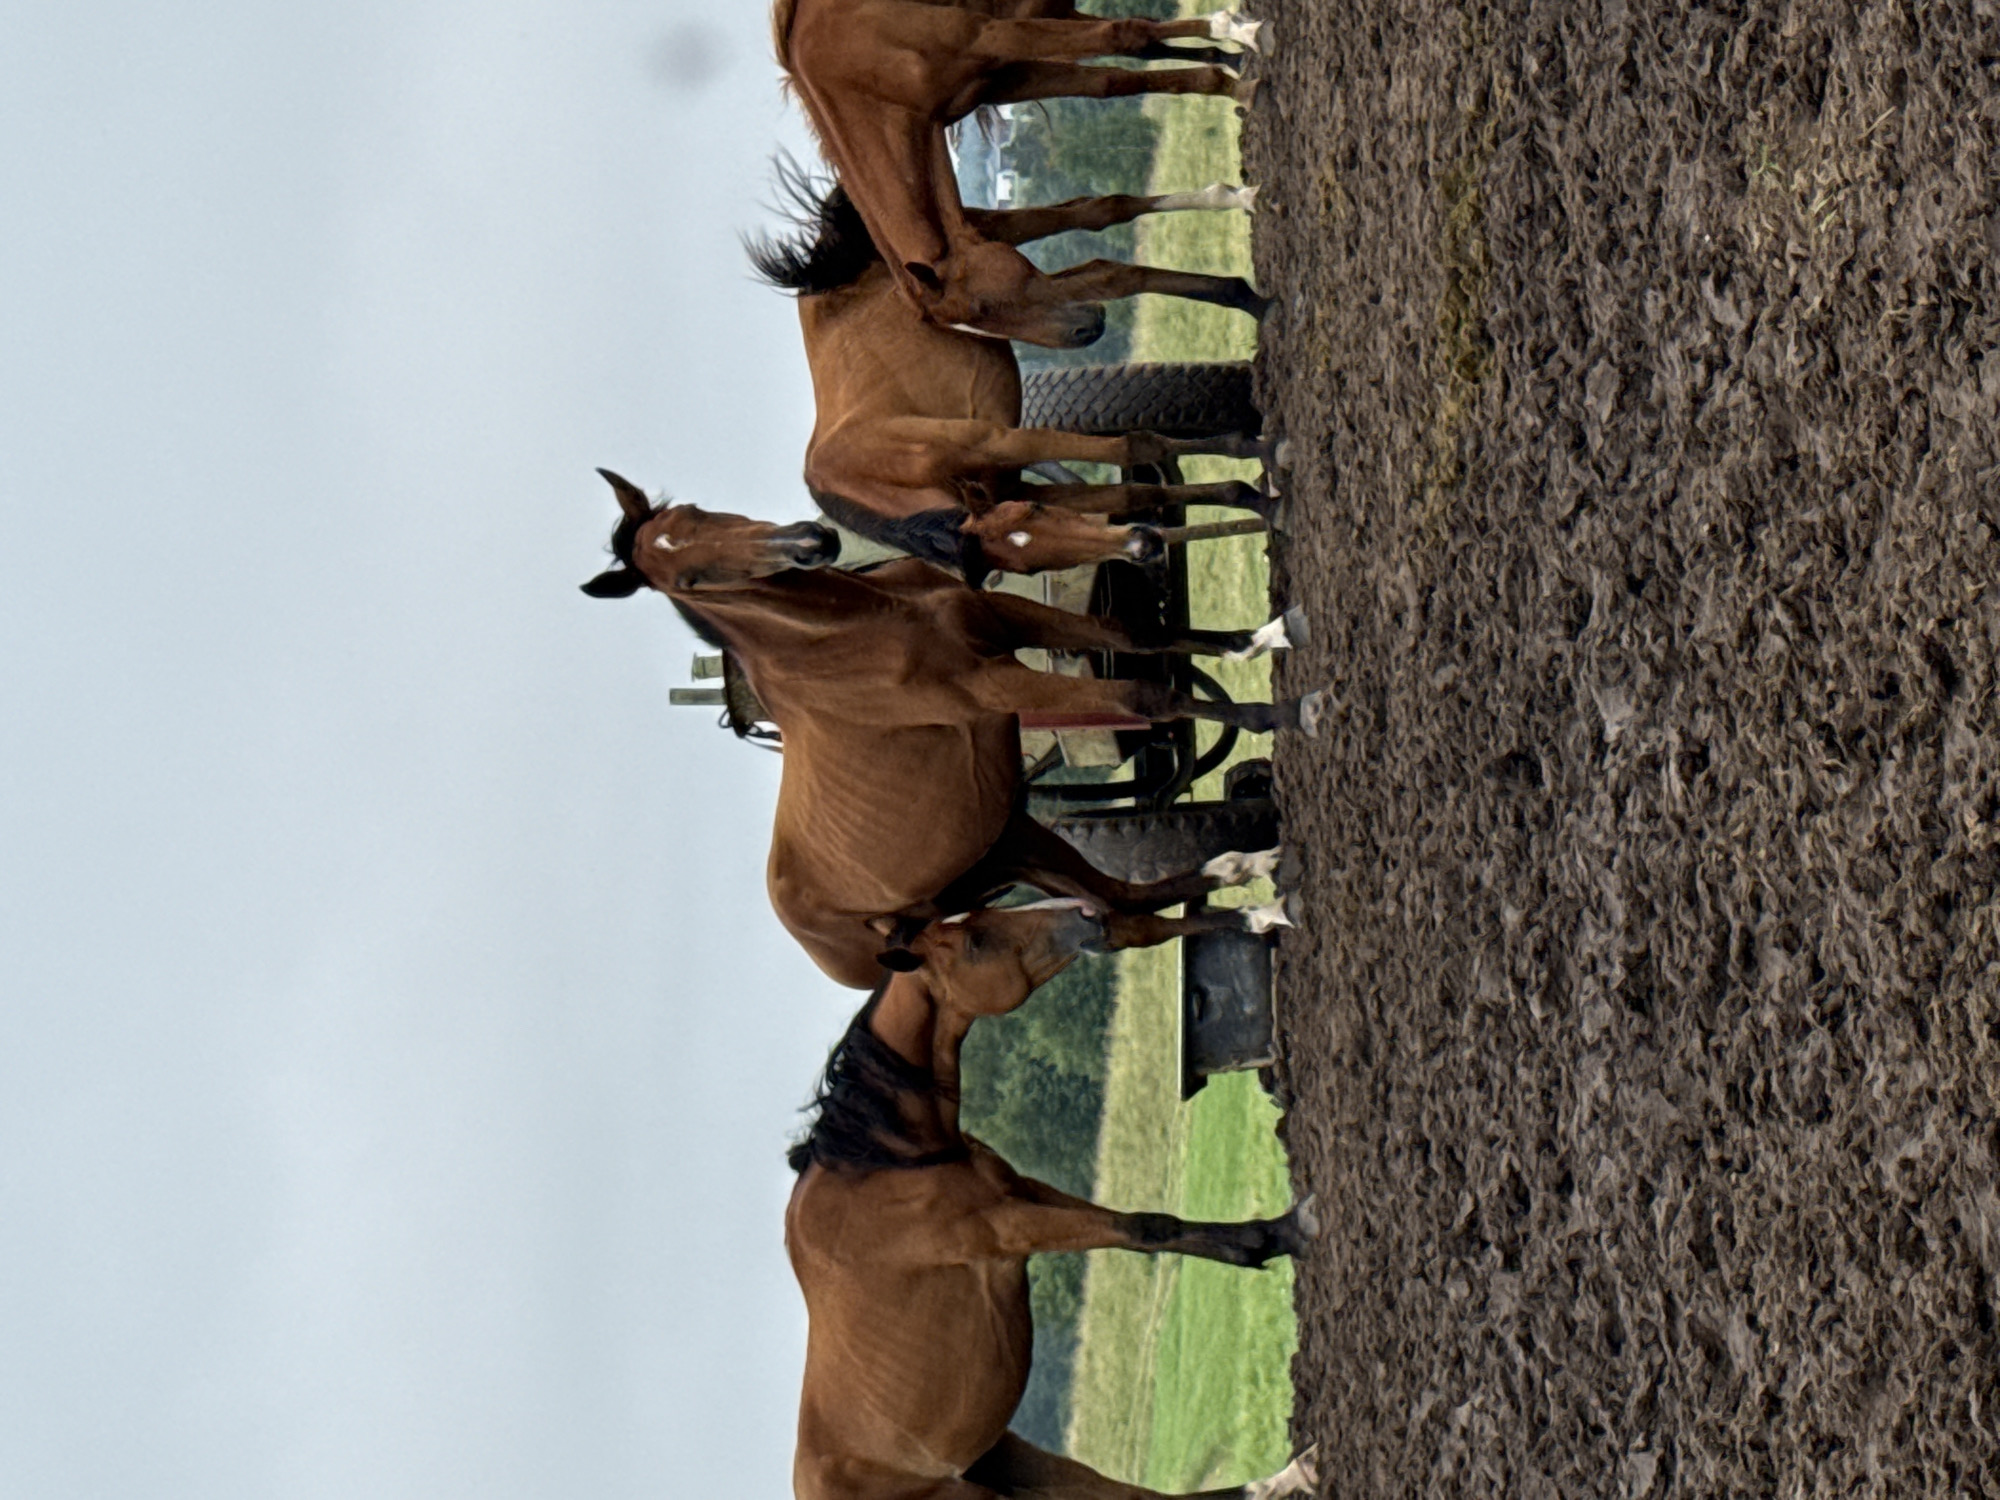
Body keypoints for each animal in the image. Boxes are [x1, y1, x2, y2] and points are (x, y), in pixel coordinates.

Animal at [579, 476, 1318, 982]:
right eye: (690, 577)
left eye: (697, 513)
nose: (808, 542)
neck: (856, 628)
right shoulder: (997, 686)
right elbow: (1147, 692)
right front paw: (1282, 713)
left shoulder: (1013, 622)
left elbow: (1143, 638)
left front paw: (1263, 638)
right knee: (1115, 919)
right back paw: (1257, 891)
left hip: (1012, 843)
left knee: (1122, 905)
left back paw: (1254, 881)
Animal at [750, 167, 1282, 578]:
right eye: (1035, 563)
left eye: (1037, 513)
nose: (1140, 547)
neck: (882, 476)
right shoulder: (1013, 487)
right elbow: (1135, 490)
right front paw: (1251, 493)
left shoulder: (1000, 440)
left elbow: (1135, 446)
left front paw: (1261, 451)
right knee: (1111, 268)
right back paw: (1242, 292)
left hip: (996, 243)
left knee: (1095, 218)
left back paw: (1232, 206)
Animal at [773, 0, 1273, 346]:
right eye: (976, 319)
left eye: (982, 306)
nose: (1082, 335)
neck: (865, 71)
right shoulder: (1004, 74)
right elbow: (1113, 86)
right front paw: (1233, 188)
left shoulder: (995, 39)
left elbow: (1124, 35)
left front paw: (1239, 34)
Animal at [785, 902, 1320, 1500]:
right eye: (976, 941)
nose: (1084, 915)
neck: (883, 1165)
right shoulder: (1009, 1228)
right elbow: (1145, 1230)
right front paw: (1287, 1229)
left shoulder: (1023, 1193)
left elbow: (1147, 1223)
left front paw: (1265, 1239)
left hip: (1011, 1458)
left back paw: (1289, 1475)